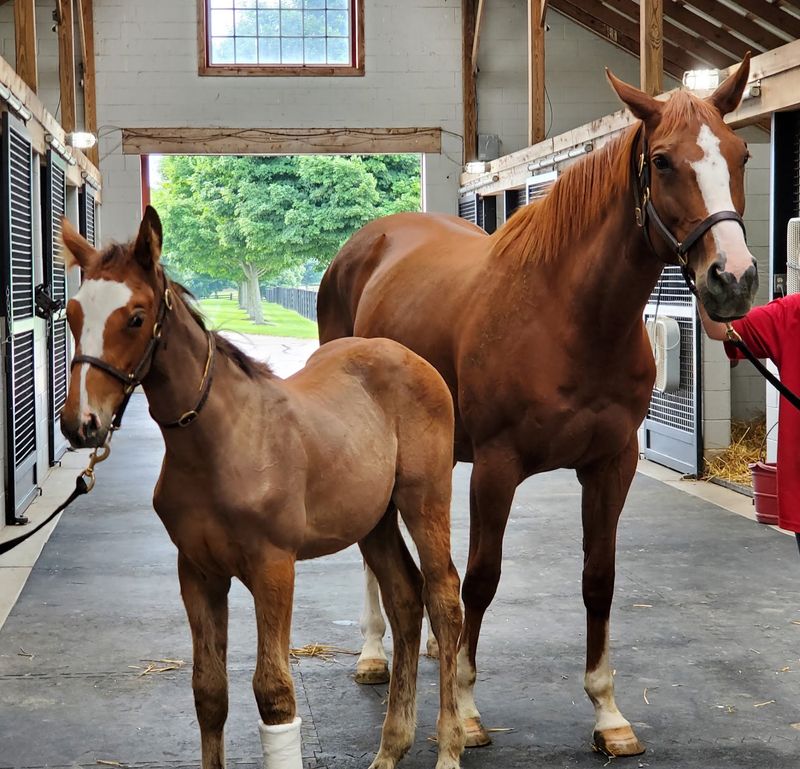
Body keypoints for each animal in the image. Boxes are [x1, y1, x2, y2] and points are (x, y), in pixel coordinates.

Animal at [58, 207, 466, 769]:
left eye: (136, 317)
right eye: (72, 315)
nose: (82, 425)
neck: (223, 442)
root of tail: (406, 356)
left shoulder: (273, 569)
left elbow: (273, 693)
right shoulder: (198, 572)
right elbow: (209, 692)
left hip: (424, 499)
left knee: (444, 599)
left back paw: (450, 747)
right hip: (374, 519)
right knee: (405, 597)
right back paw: (390, 748)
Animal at [316, 58, 758, 756]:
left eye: (741, 154)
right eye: (662, 162)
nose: (732, 280)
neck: (568, 315)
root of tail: (363, 245)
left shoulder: (611, 465)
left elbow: (598, 578)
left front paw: (608, 713)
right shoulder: (499, 468)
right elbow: (483, 577)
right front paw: (467, 710)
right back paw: (372, 654)